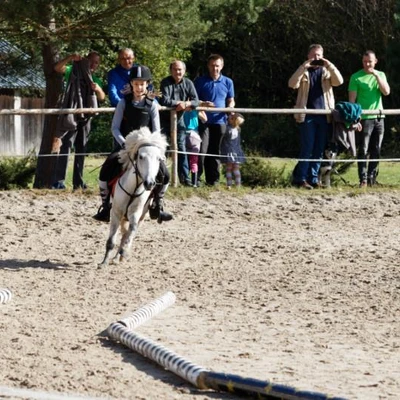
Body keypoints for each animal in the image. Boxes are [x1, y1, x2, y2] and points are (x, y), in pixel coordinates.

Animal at [100, 126, 169, 268]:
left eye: (158, 159)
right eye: (141, 157)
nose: (150, 183)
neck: (134, 187)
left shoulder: (135, 213)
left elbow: (131, 232)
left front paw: (124, 252)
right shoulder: (116, 213)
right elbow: (111, 240)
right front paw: (104, 262)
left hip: (142, 215)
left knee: (128, 233)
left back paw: (120, 255)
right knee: (123, 232)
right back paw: (116, 257)